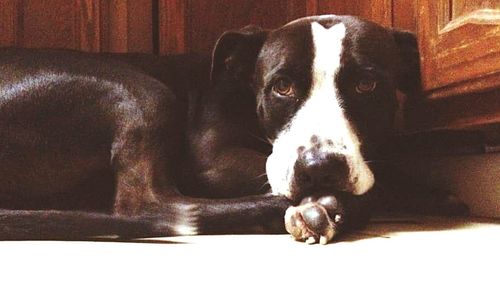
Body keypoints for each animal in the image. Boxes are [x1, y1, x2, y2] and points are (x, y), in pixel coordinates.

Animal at [0, 15, 464, 243]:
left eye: (367, 84)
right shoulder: (215, 161)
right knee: (147, 205)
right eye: (282, 86)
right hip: (140, 89)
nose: (319, 169)